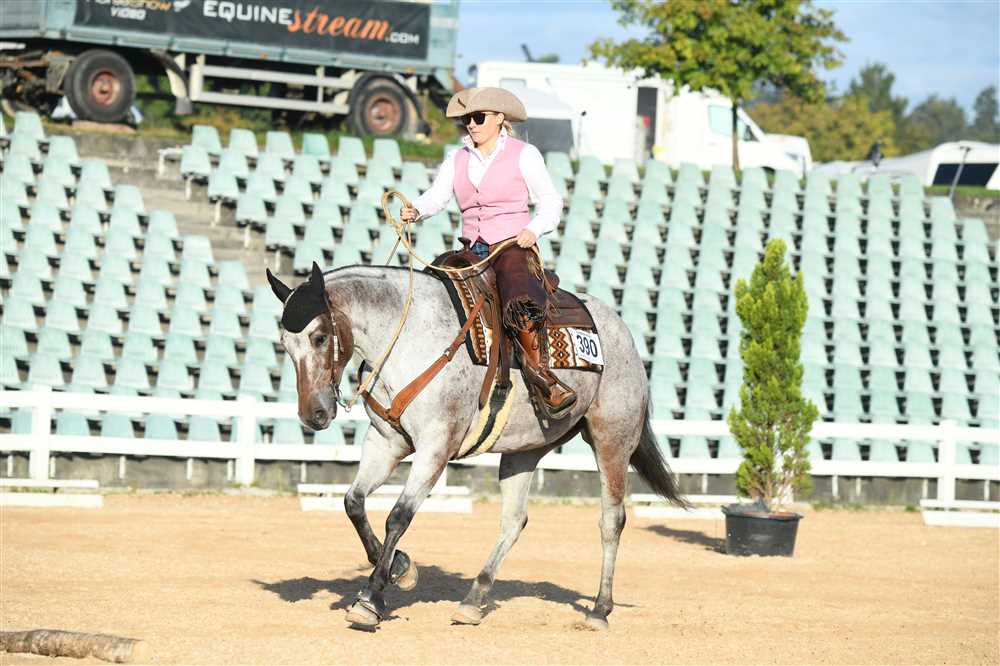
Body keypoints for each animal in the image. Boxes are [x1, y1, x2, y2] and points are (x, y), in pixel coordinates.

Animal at [266, 261, 688, 631]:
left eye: (320, 337)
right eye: (285, 343)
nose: (314, 414)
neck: (411, 338)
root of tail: (623, 333)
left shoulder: (436, 447)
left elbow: (398, 516)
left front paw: (372, 599)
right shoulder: (385, 442)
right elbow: (353, 502)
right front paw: (401, 568)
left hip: (612, 438)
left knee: (611, 520)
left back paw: (599, 610)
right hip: (524, 451)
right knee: (514, 521)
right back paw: (473, 600)